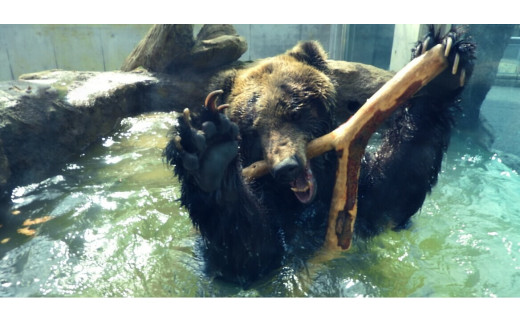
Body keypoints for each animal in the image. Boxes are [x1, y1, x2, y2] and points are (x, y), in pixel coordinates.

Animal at [164, 26, 476, 288]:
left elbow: (397, 188)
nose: (286, 167)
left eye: (295, 110)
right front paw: (210, 151)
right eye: (252, 127)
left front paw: (442, 63)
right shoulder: (273, 216)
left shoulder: (360, 194)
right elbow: (249, 252)